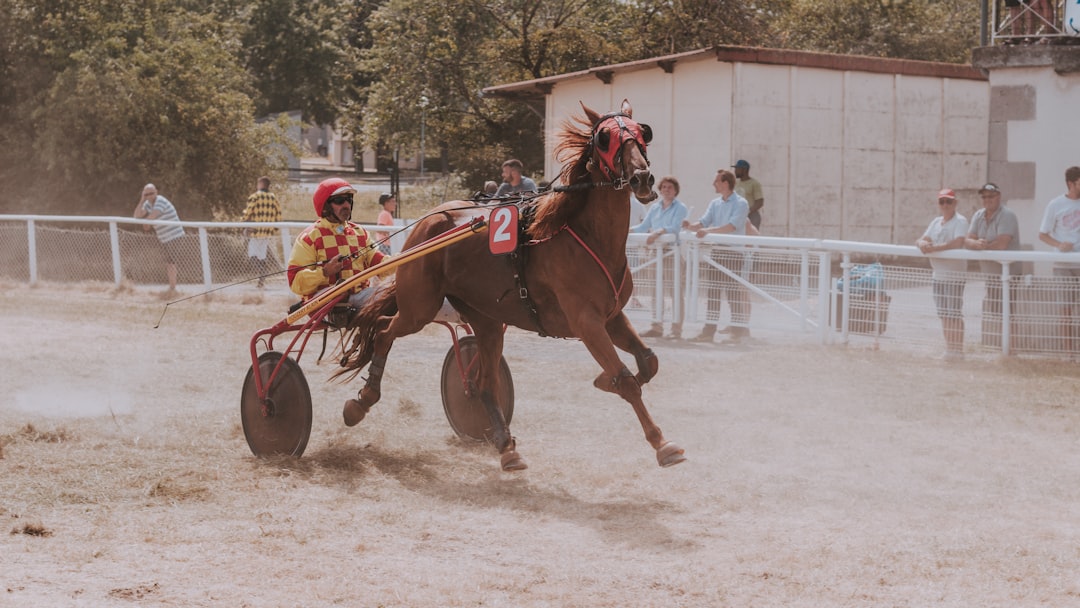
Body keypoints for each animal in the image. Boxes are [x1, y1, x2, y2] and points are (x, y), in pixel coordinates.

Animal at [341, 98, 686, 470]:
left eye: (643, 133)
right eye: (606, 137)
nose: (642, 177)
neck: (587, 235)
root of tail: (431, 218)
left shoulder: (612, 317)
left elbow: (648, 362)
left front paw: (604, 380)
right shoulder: (587, 323)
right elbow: (628, 381)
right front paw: (661, 442)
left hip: (486, 319)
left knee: (483, 384)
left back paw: (506, 445)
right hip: (419, 307)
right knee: (384, 330)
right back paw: (361, 402)